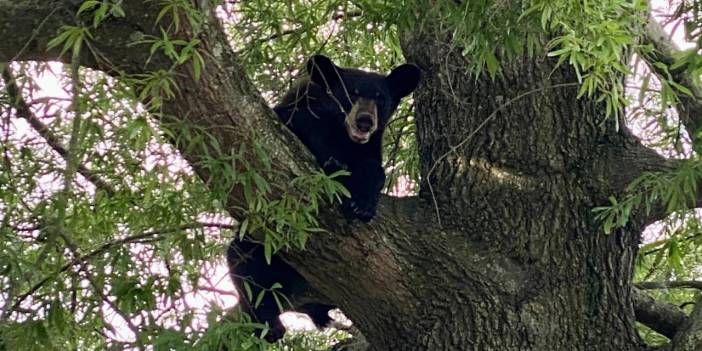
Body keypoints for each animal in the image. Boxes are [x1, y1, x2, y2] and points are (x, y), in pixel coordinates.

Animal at [228, 54, 420, 340]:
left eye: (381, 98)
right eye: (351, 93)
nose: (365, 121)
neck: (343, 135)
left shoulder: (370, 148)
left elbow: (375, 169)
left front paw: (362, 203)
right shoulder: (296, 111)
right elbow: (300, 126)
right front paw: (332, 162)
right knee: (243, 262)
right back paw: (271, 324)